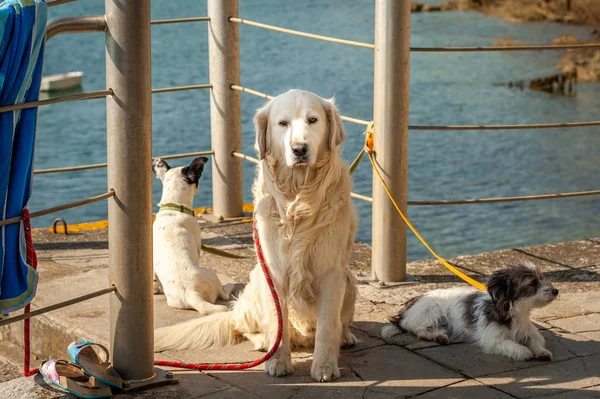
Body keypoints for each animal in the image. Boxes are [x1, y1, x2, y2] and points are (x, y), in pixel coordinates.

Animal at [152, 158, 232, 318]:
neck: (174, 207)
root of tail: (192, 294)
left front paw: (156, 289)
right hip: (211, 273)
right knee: (224, 294)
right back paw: (230, 286)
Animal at [382, 262, 560, 362]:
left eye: (542, 277)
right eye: (532, 283)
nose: (556, 290)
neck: (515, 311)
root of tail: (408, 308)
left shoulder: (528, 331)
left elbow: (536, 340)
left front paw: (541, 351)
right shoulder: (493, 339)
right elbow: (511, 345)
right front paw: (524, 351)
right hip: (432, 310)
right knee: (416, 328)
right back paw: (438, 336)